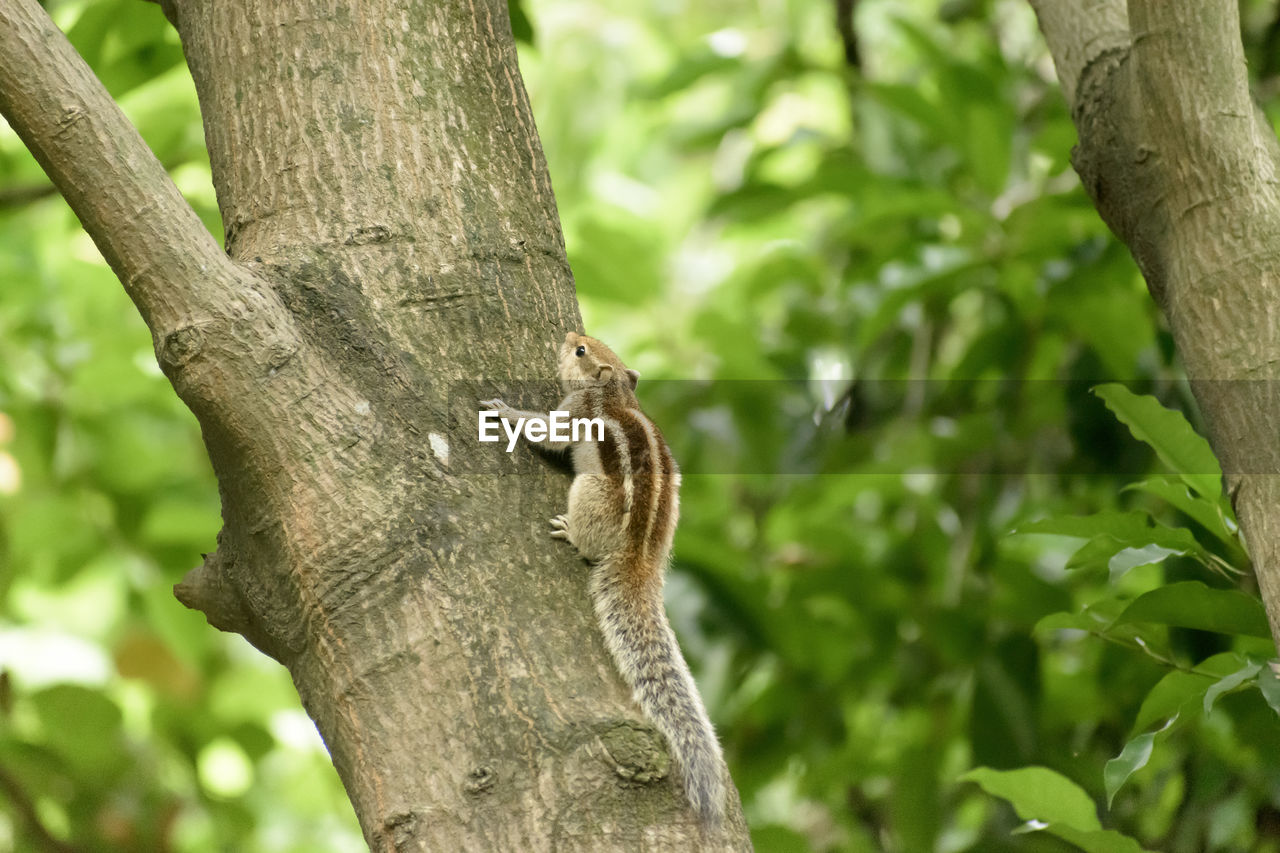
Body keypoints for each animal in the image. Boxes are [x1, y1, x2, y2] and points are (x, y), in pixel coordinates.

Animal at [481, 327, 727, 819]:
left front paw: (505, 412)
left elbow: (548, 432)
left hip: (590, 490)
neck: (614, 393)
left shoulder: (575, 411)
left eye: (580, 350)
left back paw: (571, 533)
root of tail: (640, 558)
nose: (570, 333)